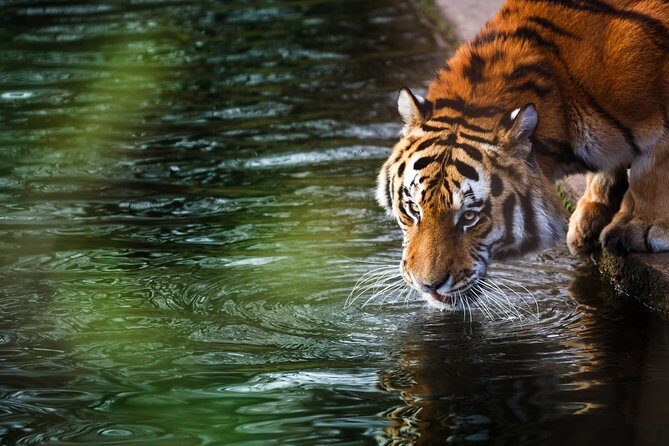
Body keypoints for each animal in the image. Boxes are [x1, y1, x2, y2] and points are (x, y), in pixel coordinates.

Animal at [376, 0, 669, 310]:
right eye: (412, 209)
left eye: (470, 217)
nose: (427, 286)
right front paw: (589, 217)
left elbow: (652, 169)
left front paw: (641, 227)